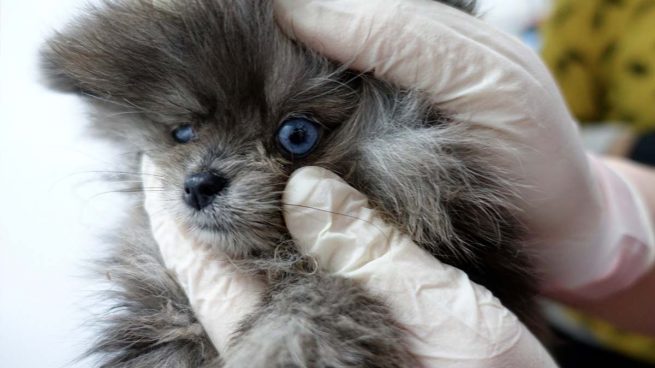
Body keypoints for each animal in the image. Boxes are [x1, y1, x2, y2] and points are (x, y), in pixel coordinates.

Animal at [43, 1, 540, 366]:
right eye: (182, 132)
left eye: (297, 135)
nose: (199, 184)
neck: (272, 261)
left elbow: (318, 298)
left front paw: (284, 344)